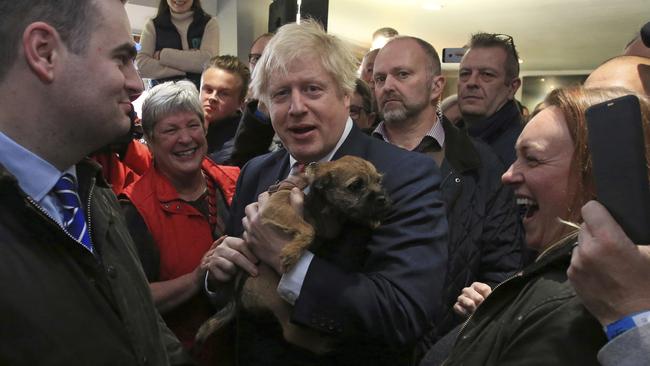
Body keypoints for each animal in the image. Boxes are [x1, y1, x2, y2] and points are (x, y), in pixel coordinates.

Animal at [194, 155, 390, 354]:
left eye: (378, 181)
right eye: (356, 185)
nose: (383, 199)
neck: (318, 202)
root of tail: (237, 296)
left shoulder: (329, 227)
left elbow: (336, 220)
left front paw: (370, 220)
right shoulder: (277, 206)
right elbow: (309, 228)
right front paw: (292, 252)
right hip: (274, 293)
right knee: (291, 332)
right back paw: (326, 344)